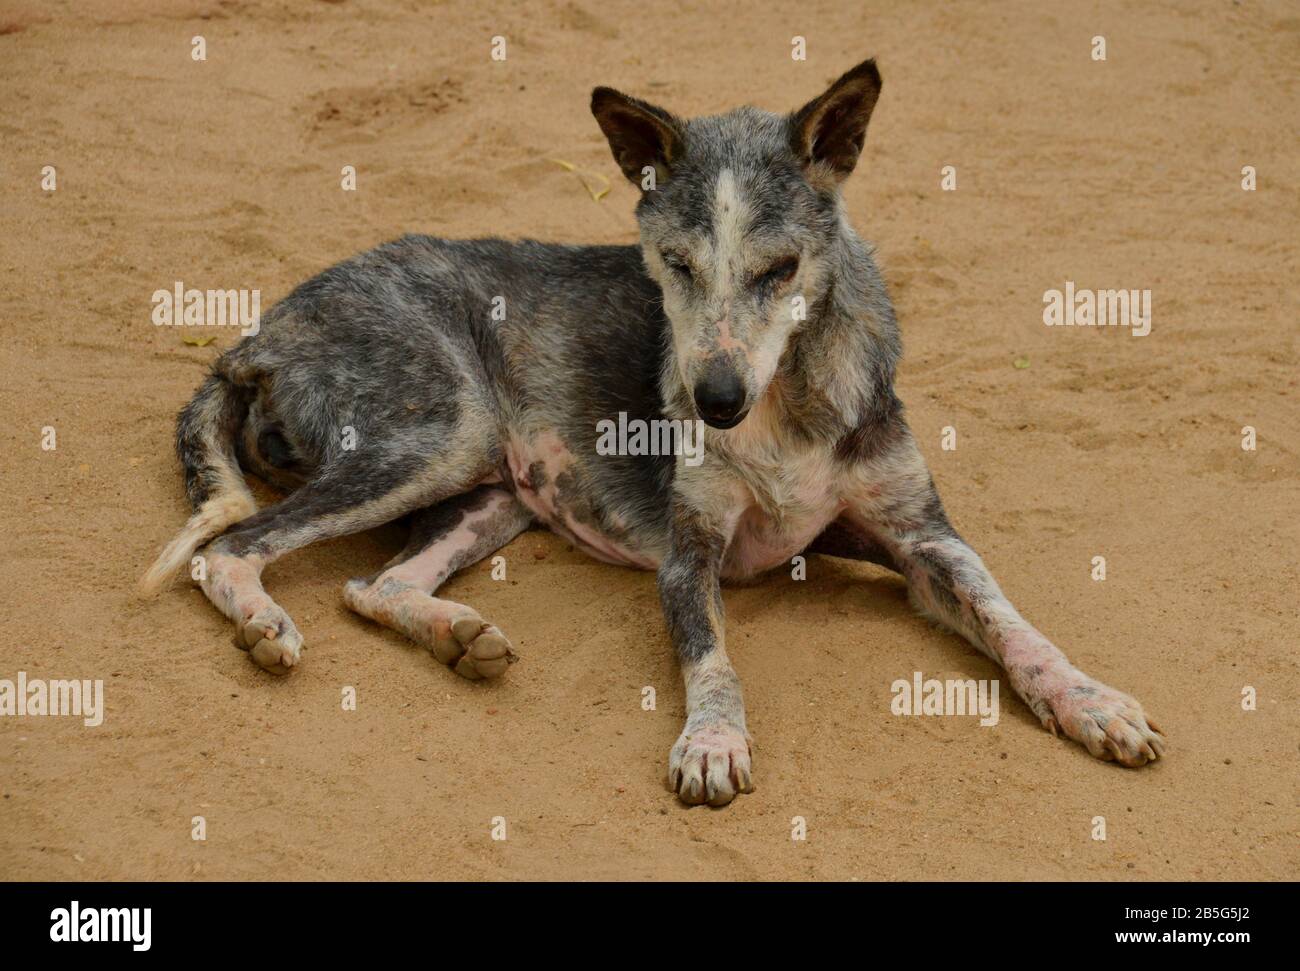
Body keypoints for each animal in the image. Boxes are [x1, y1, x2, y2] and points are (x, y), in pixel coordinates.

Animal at [144, 58, 1170, 805]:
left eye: (780, 269)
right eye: (673, 263)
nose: (709, 403)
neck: (786, 403)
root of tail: (259, 329)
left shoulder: (924, 537)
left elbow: (1013, 621)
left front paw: (1089, 700)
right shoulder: (690, 550)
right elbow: (712, 656)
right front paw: (712, 742)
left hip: (490, 490)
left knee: (370, 584)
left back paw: (458, 637)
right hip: (440, 434)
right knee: (234, 547)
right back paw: (266, 625)